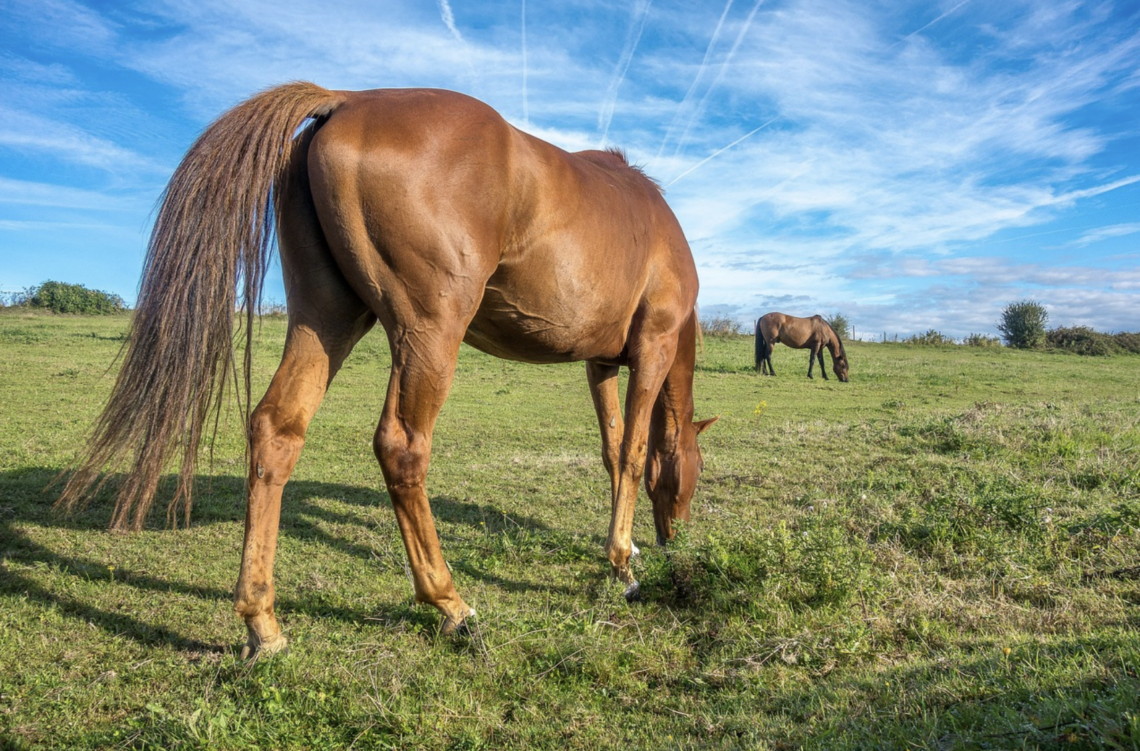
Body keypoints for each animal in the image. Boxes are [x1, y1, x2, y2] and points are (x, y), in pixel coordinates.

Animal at [56, 83, 718, 659]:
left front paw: (624, 550)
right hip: (427, 334)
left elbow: (610, 449)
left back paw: (263, 624)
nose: (675, 537)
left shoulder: (599, 363)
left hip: (326, 318)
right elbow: (633, 451)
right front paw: (623, 564)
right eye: (695, 473)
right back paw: (451, 605)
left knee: (277, 429)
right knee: (401, 447)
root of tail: (346, 101)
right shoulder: (652, 350)